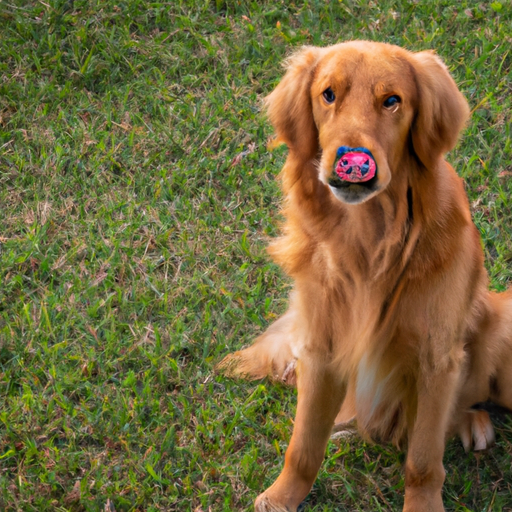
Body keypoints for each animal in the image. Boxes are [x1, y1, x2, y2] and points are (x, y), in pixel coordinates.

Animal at [218, 40, 512, 512]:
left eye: (392, 101)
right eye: (328, 94)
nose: (352, 161)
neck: (370, 245)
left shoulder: (435, 358)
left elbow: (423, 460)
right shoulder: (321, 346)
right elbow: (303, 447)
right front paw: (281, 497)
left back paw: (474, 422)